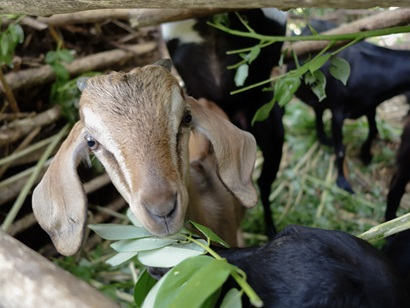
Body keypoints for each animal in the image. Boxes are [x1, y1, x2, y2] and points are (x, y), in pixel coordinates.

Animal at [290, 19, 410, 192]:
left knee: (318, 112)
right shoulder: (338, 112)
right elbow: (340, 149)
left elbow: (374, 130)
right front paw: (342, 181)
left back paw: (324, 140)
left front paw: (366, 155)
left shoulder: (370, 106)